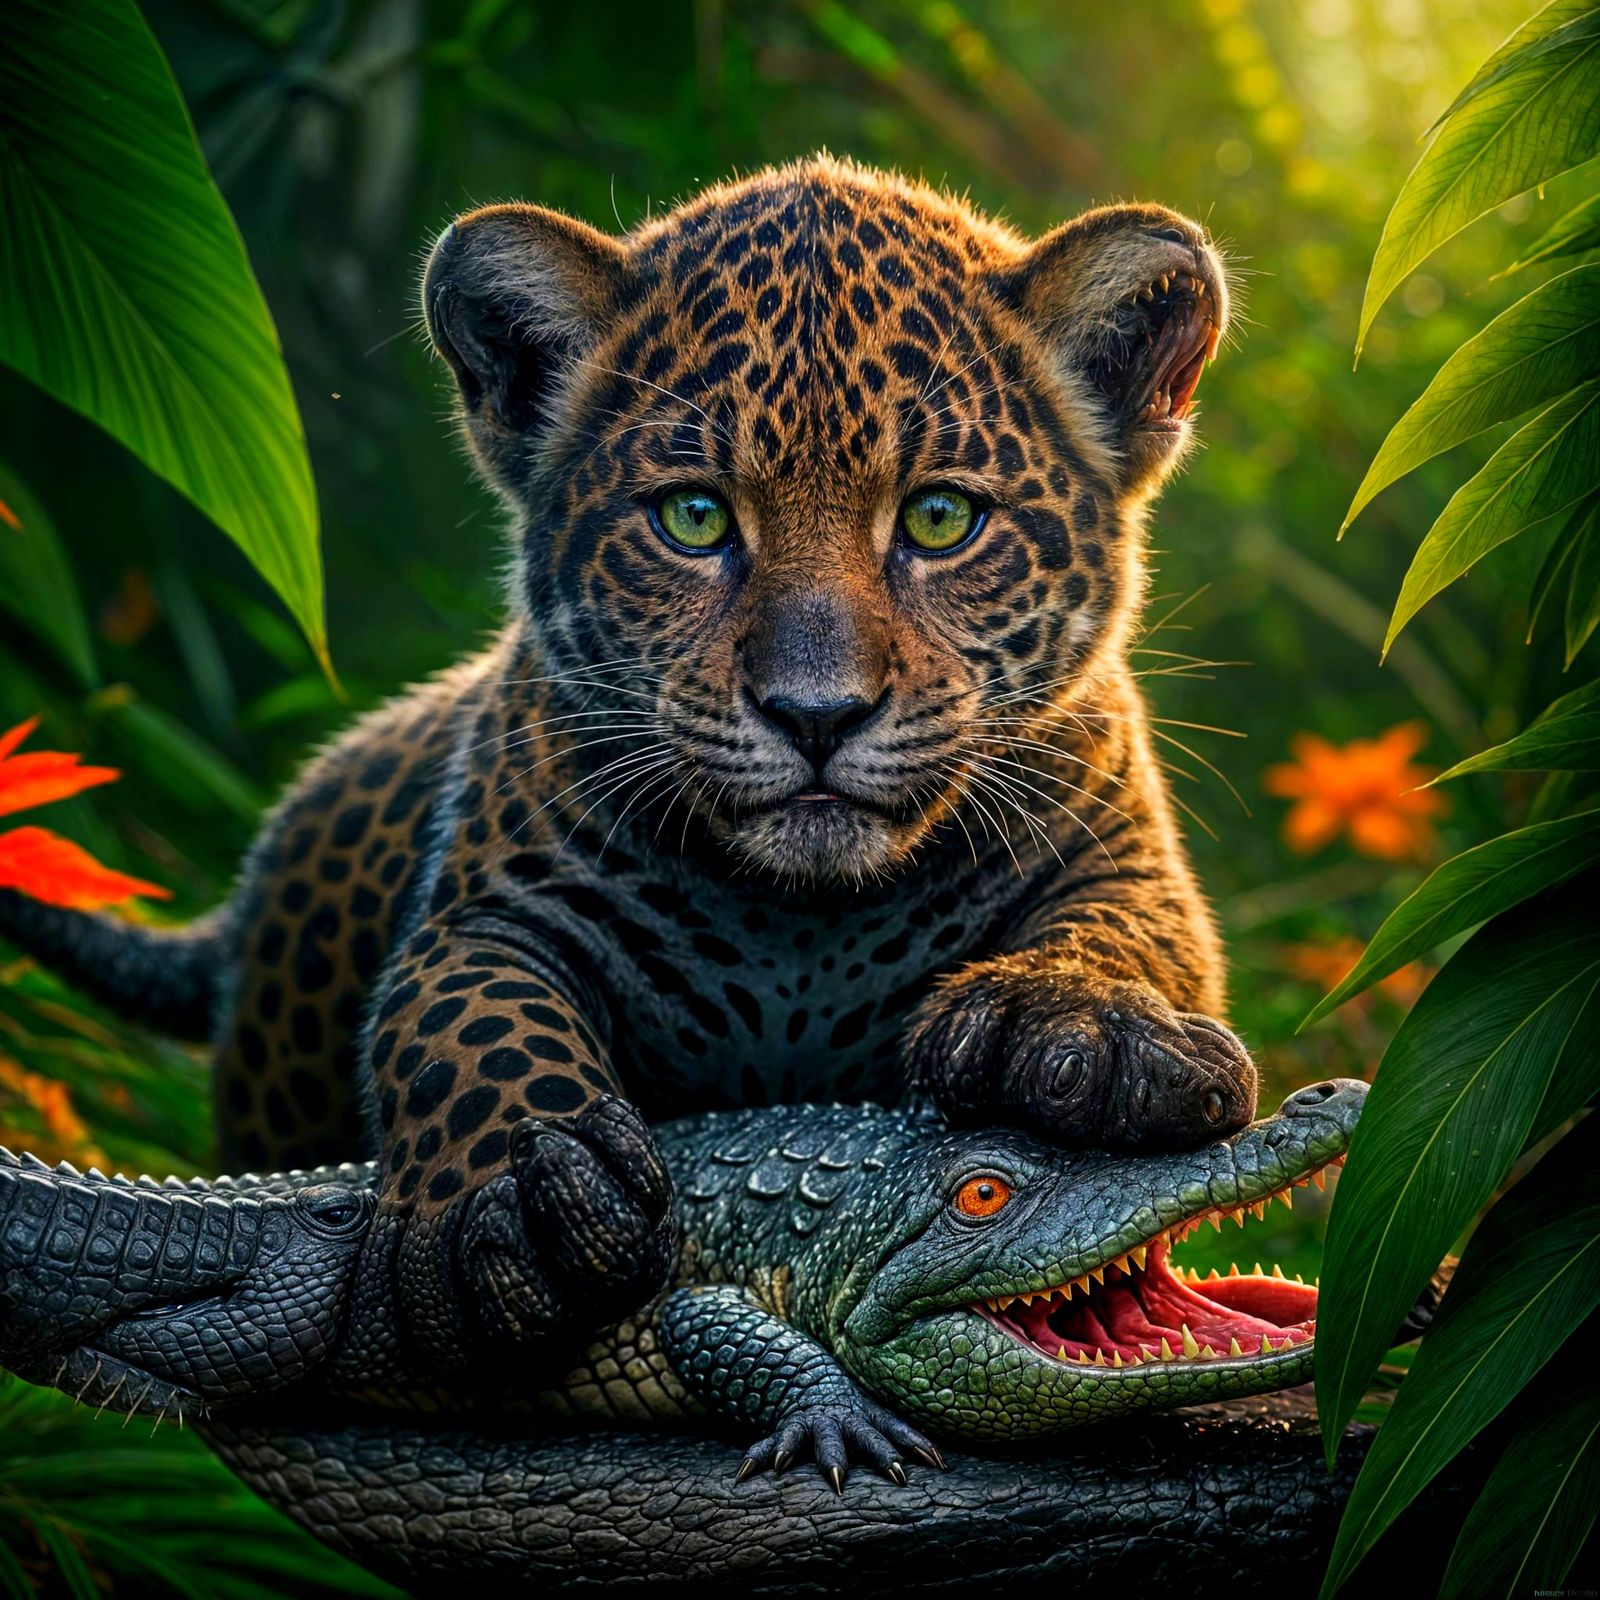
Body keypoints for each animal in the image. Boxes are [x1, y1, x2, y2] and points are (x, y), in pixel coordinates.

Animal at [0, 155, 1255, 1380]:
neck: (803, 930)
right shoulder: (490, 905)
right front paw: (516, 1197)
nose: (815, 714)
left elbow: (1128, 934)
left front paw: (1085, 1028)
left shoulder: (1125, 857)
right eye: (693, 518)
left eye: (942, 518)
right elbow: (465, 1020)